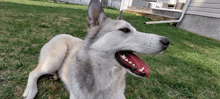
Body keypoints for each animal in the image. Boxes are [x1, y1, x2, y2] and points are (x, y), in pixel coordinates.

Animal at [22, 0, 170, 98]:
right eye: (125, 30)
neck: (105, 76)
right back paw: (31, 90)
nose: (167, 42)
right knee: (33, 73)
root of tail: (59, 34)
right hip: (55, 58)